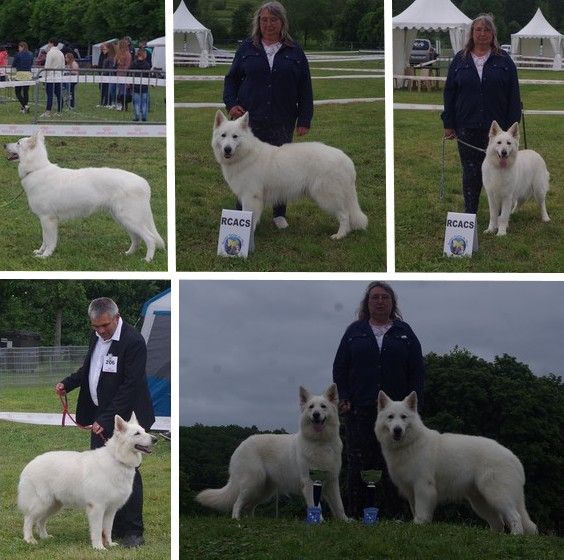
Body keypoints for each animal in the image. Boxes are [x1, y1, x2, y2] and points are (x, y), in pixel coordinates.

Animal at [3, 132, 165, 262]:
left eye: (18, 143)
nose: (4, 144)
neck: (36, 169)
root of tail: (143, 182)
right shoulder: (44, 220)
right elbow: (44, 239)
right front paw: (40, 251)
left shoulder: (48, 219)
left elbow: (49, 241)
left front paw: (45, 256)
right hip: (123, 219)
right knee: (137, 238)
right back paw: (128, 254)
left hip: (129, 218)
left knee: (150, 238)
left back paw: (147, 259)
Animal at [17, 414, 156, 548]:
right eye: (137, 433)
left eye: (144, 430)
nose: (155, 439)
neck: (117, 458)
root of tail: (30, 463)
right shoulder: (97, 507)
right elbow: (97, 530)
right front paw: (99, 547)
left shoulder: (111, 509)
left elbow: (107, 529)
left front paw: (109, 544)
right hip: (42, 502)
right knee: (28, 519)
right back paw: (29, 539)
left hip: (53, 504)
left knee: (41, 520)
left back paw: (44, 536)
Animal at [196, 384, 350, 520]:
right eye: (311, 407)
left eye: (323, 406)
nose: (316, 414)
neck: (320, 442)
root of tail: (241, 444)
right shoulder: (309, 481)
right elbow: (315, 506)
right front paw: (319, 521)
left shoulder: (332, 481)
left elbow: (339, 505)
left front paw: (345, 521)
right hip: (252, 483)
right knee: (237, 503)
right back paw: (236, 519)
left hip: (262, 489)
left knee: (249, 506)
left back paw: (251, 521)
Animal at [214, 111, 368, 247]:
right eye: (223, 135)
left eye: (235, 136)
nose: (227, 149)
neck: (246, 154)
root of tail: (346, 159)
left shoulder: (250, 197)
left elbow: (249, 215)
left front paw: (249, 233)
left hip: (327, 197)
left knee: (345, 215)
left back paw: (340, 235)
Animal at [374, 392, 536, 536]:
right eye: (390, 417)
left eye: (403, 417)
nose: (397, 430)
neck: (410, 443)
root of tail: (514, 457)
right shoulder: (410, 490)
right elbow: (415, 508)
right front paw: (416, 524)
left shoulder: (423, 486)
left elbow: (421, 509)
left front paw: (420, 523)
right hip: (480, 501)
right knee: (498, 522)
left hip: (497, 494)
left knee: (515, 516)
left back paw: (516, 535)